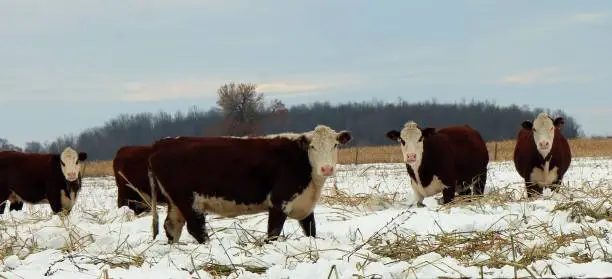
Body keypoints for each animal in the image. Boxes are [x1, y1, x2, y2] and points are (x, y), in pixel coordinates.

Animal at [146, 124, 352, 245]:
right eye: (312, 147)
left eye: (335, 145)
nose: (327, 168)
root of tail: (161, 143)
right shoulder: (279, 202)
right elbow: (273, 232)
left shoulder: (305, 206)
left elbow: (311, 231)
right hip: (188, 200)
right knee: (196, 227)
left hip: (176, 202)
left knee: (172, 226)